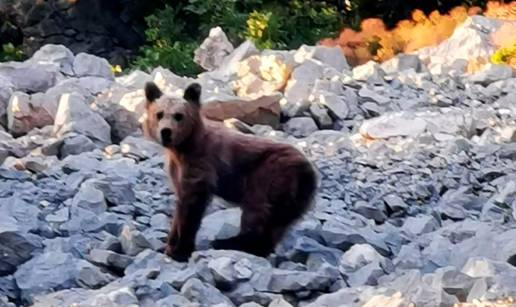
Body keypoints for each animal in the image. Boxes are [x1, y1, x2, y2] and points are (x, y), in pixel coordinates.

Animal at [143, 82, 316, 262]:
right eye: (159, 114)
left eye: (179, 115)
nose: (166, 132)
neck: (183, 148)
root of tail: (308, 171)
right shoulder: (178, 169)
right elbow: (181, 202)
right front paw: (170, 245)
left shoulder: (201, 163)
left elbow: (192, 204)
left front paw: (180, 249)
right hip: (293, 195)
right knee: (276, 222)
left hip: (270, 174)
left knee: (257, 211)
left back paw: (228, 243)